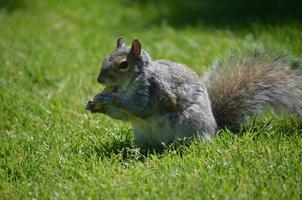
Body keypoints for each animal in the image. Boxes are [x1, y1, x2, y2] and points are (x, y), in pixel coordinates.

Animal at [85, 37, 302, 149]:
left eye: (124, 64)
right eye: (105, 58)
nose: (100, 80)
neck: (130, 85)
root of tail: (215, 127)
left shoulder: (154, 92)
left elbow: (138, 108)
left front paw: (109, 98)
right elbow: (122, 115)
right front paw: (94, 104)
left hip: (189, 121)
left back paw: (176, 147)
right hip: (143, 133)